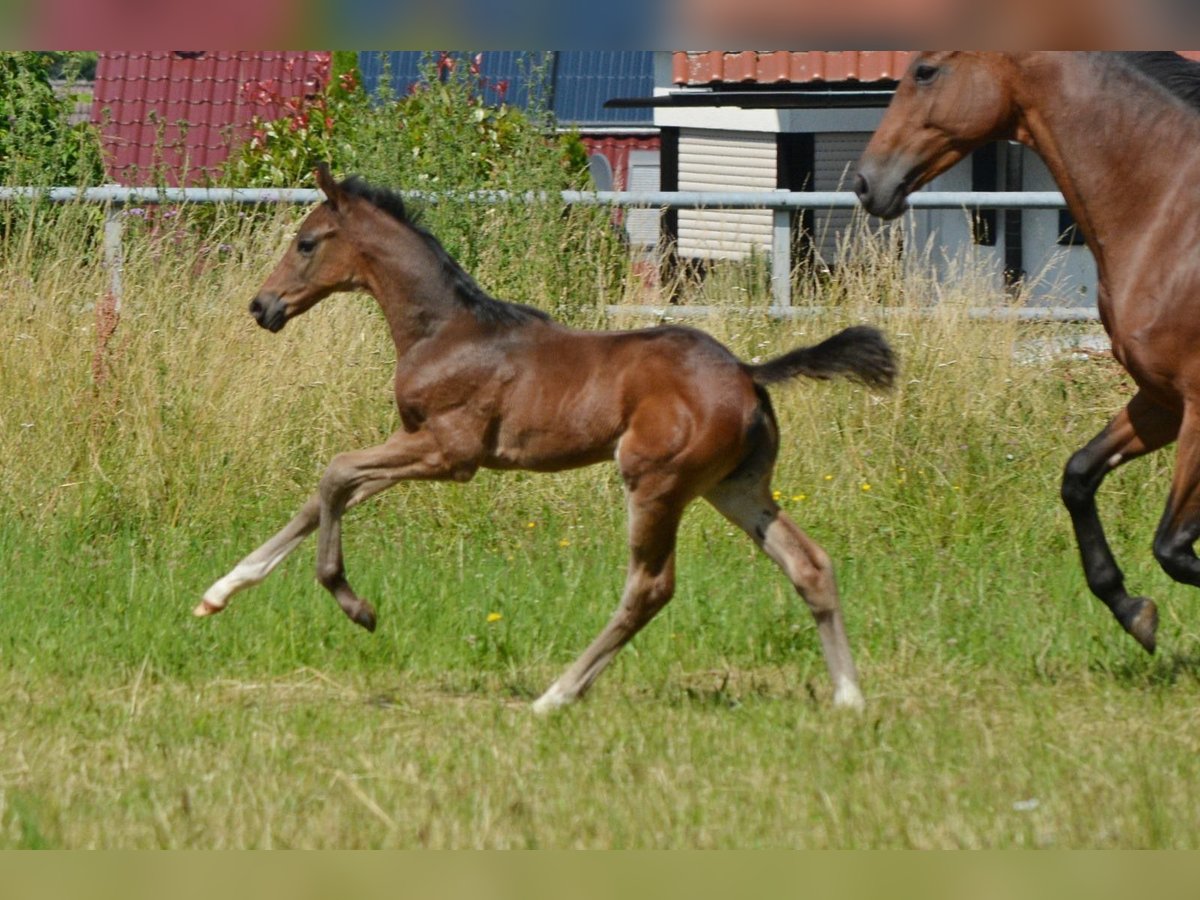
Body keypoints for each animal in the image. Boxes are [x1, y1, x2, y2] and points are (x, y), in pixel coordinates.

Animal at [196, 164, 892, 710]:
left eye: (306, 243)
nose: (262, 307)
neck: (445, 330)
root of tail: (749, 372)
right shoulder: (414, 440)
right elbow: (323, 496)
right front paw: (218, 593)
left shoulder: (451, 452)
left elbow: (335, 472)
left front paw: (356, 606)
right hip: (736, 488)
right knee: (809, 564)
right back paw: (849, 697)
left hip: (654, 482)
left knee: (650, 588)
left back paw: (556, 694)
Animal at [859, 51, 1200, 657]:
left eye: (925, 70)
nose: (865, 182)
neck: (1173, 219)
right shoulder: (1163, 400)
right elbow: (1079, 477)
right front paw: (1134, 612)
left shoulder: (1198, 406)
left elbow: (1174, 546)